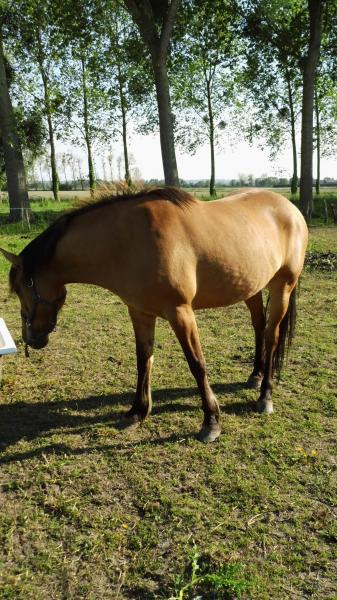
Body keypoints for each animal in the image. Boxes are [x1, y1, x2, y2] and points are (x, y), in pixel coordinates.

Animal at [0, 188, 308, 440]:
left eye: (23, 288)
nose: (31, 338)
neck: (129, 241)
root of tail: (289, 209)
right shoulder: (140, 313)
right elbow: (143, 361)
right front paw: (137, 412)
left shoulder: (180, 313)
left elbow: (197, 364)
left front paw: (211, 421)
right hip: (251, 287)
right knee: (259, 326)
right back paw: (255, 375)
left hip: (282, 287)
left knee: (272, 336)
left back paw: (265, 396)